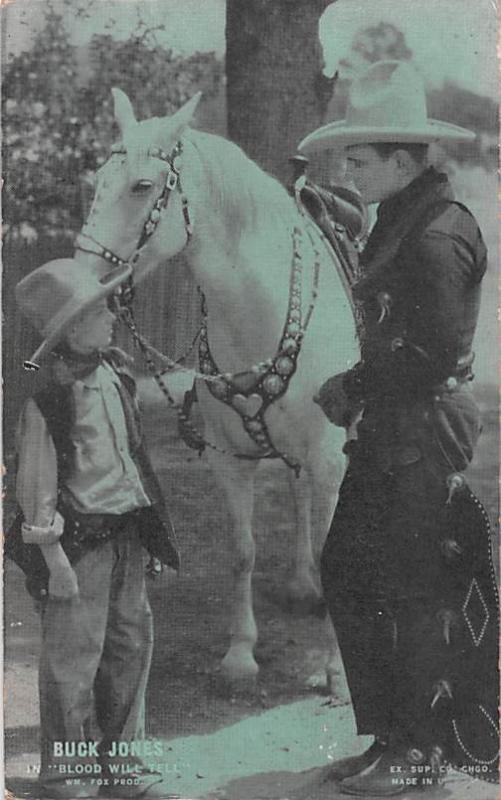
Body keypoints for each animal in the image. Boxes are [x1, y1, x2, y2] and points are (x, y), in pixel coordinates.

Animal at [72, 89, 358, 688]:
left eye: (142, 185)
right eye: (98, 181)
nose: (81, 286)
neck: (260, 314)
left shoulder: (330, 458)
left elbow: (334, 551)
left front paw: (335, 669)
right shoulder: (230, 459)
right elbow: (242, 550)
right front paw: (240, 654)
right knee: (296, 495)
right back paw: (301, 585)